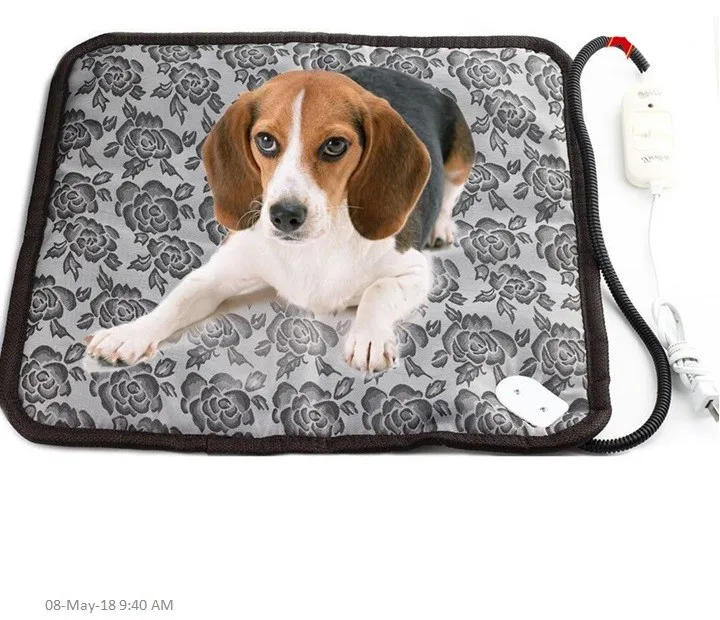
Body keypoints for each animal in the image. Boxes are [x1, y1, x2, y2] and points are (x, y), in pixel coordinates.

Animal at [85, 66, 473, 372]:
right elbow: (177, 301)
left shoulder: (415, 272)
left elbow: (377, 291)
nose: (285, 215)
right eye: (266, 141)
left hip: (461, 156)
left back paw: (441, 227)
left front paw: (368, 340)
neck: (316, 245)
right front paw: (130, 333)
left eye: (335, 145)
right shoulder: (218, 273)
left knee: (450, 197)